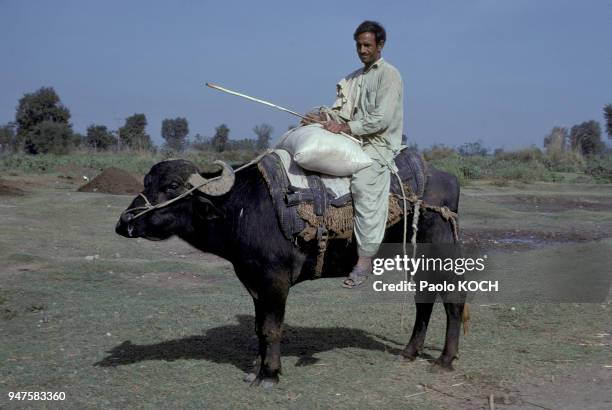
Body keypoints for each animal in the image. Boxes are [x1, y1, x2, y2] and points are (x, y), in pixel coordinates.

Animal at [115, 149, 466, 386]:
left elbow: (273, 327)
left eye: (173, 186)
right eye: (146, 182)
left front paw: (269, 374)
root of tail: (448, 179)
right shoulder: (254, 281)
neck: (240, 207)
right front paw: (258, 368)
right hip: (416, 259)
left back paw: (445, 359)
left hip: (440, 254)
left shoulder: (275, 281)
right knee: (424, 301)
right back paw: (409, 351)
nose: (124, 223)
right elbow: (260, 327)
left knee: (453, 301)